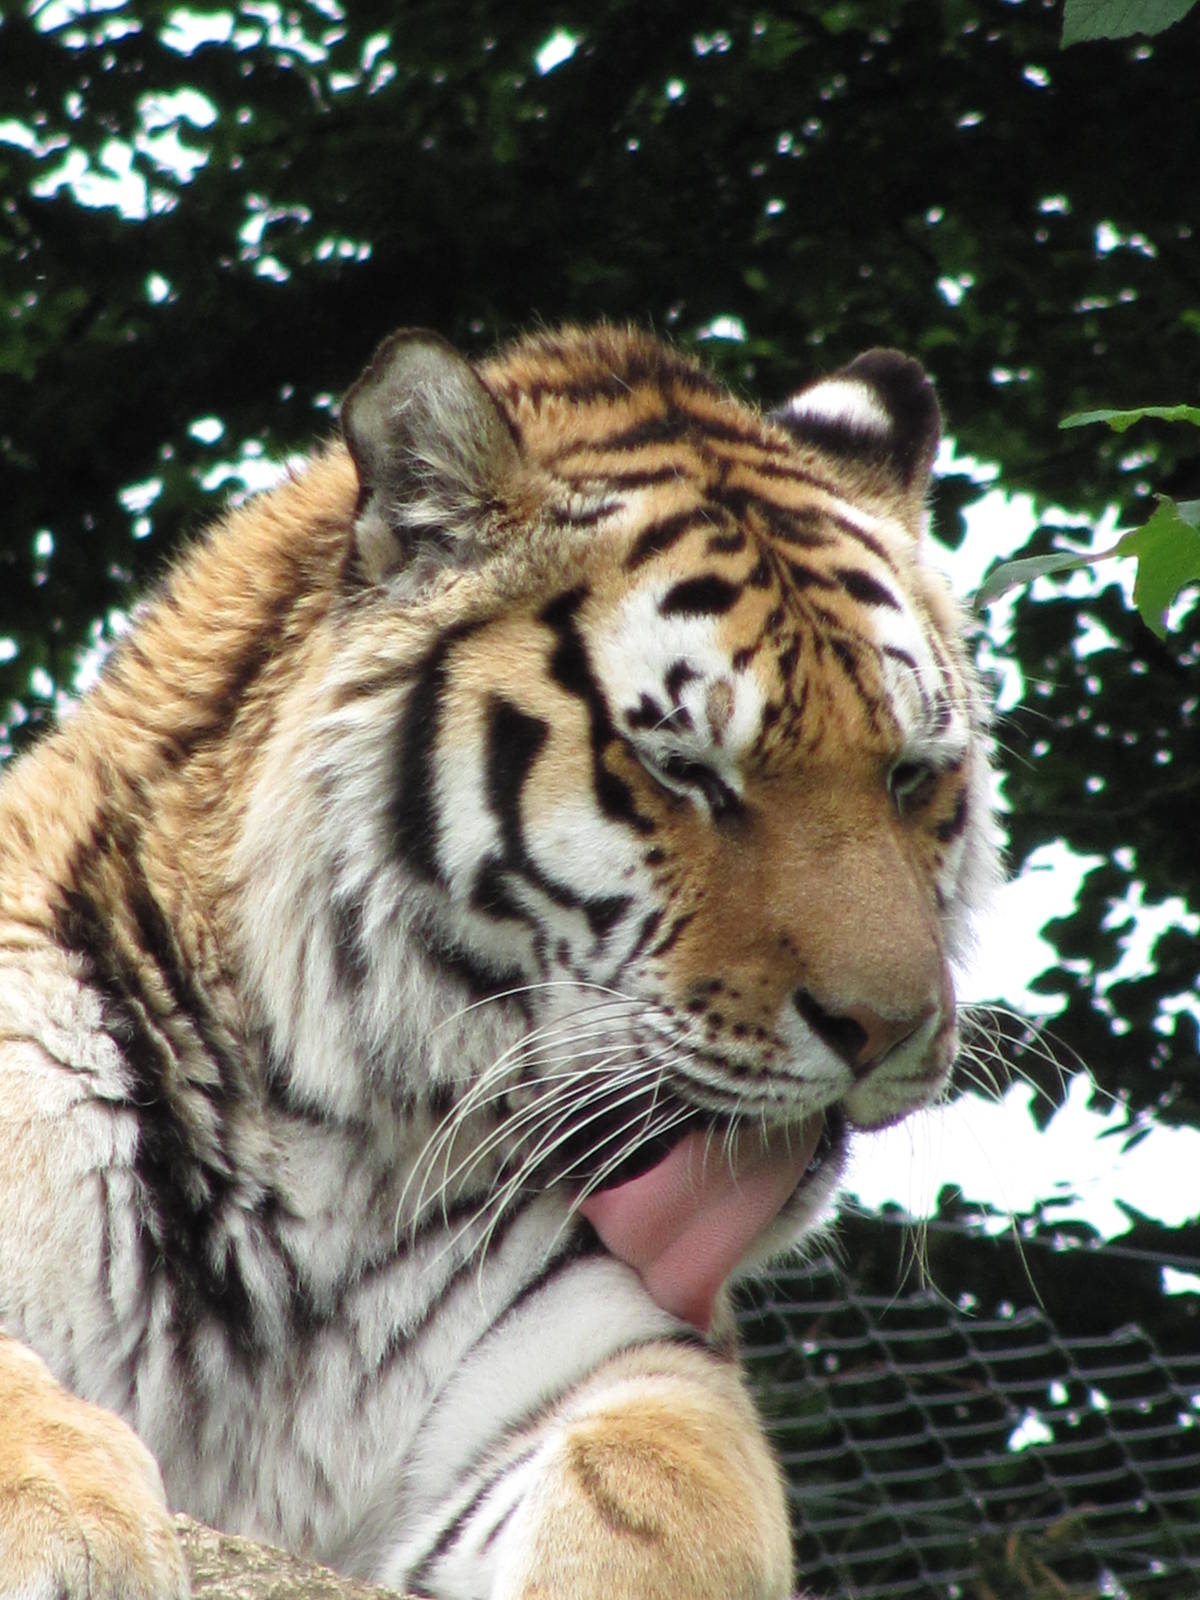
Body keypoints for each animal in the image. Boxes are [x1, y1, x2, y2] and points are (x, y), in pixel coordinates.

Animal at [0, 321, 999, 1599]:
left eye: (910, 774)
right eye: (683, 771)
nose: (890, 1027)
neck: (313, 1165)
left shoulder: (620, 1351)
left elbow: (662, 1498)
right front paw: (75, 1528)